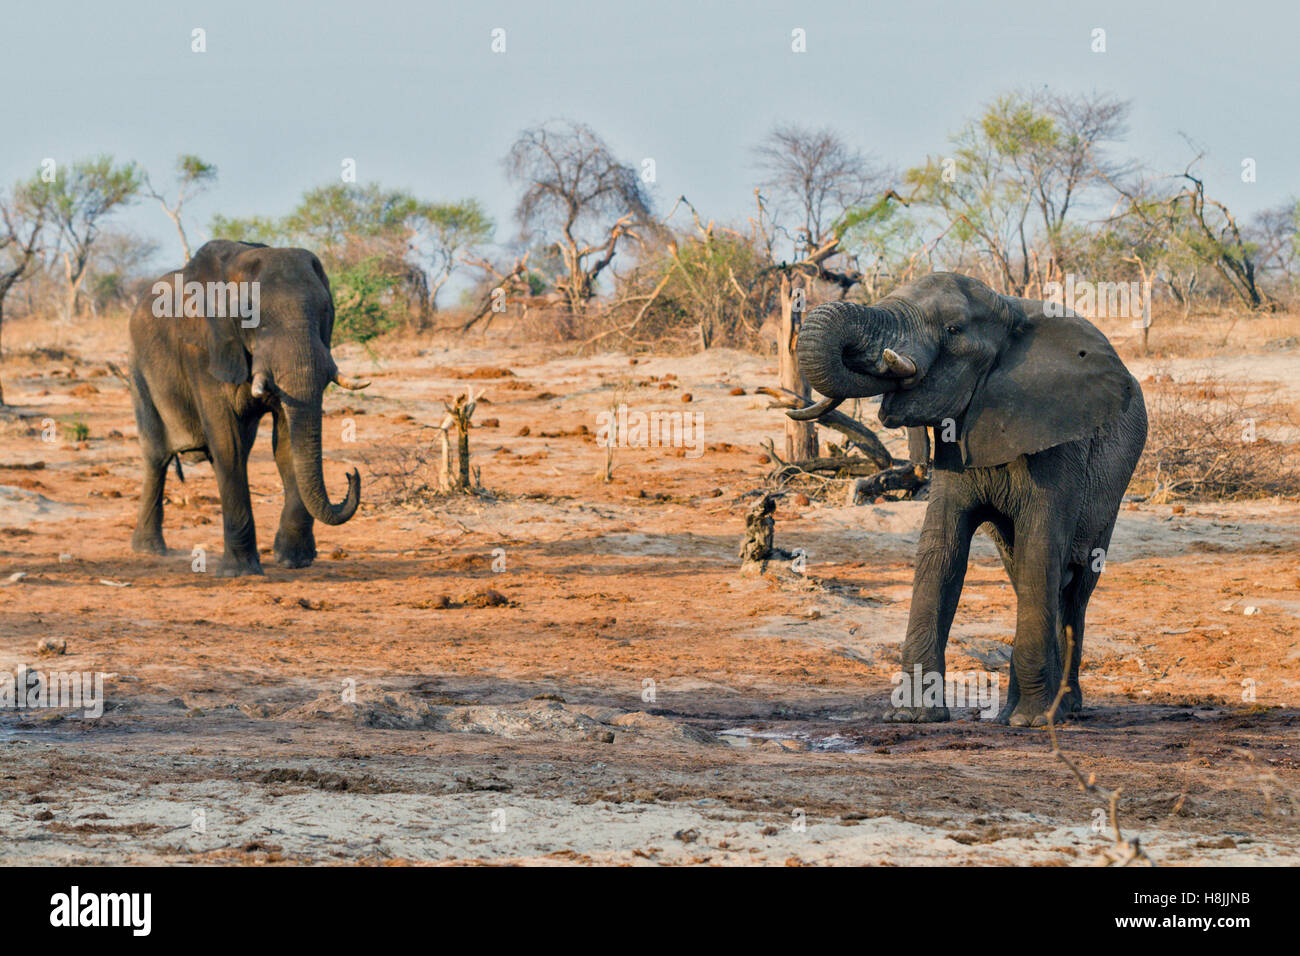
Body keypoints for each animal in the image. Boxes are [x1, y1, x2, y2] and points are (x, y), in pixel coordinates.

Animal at [126, 243, 366, 580]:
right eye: (252, 317)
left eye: (325, 312)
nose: (351, 474)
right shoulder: (203, 350)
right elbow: (229, 443)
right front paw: (239, 572)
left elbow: (286, 443)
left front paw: (293, 561)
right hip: (138, 369)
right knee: (157, 455)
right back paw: (150, 550)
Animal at [790, 273, 1149, 728]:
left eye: (952, 329)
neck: (1008, 310)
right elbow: (941, 551)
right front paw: (912, 717)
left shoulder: (1059, 442)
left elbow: (1040, 547)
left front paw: (1031, 723)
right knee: (1024, 572)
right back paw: (1027, 710)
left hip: (1114, 482)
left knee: (1075, 583)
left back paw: (1060, 711)